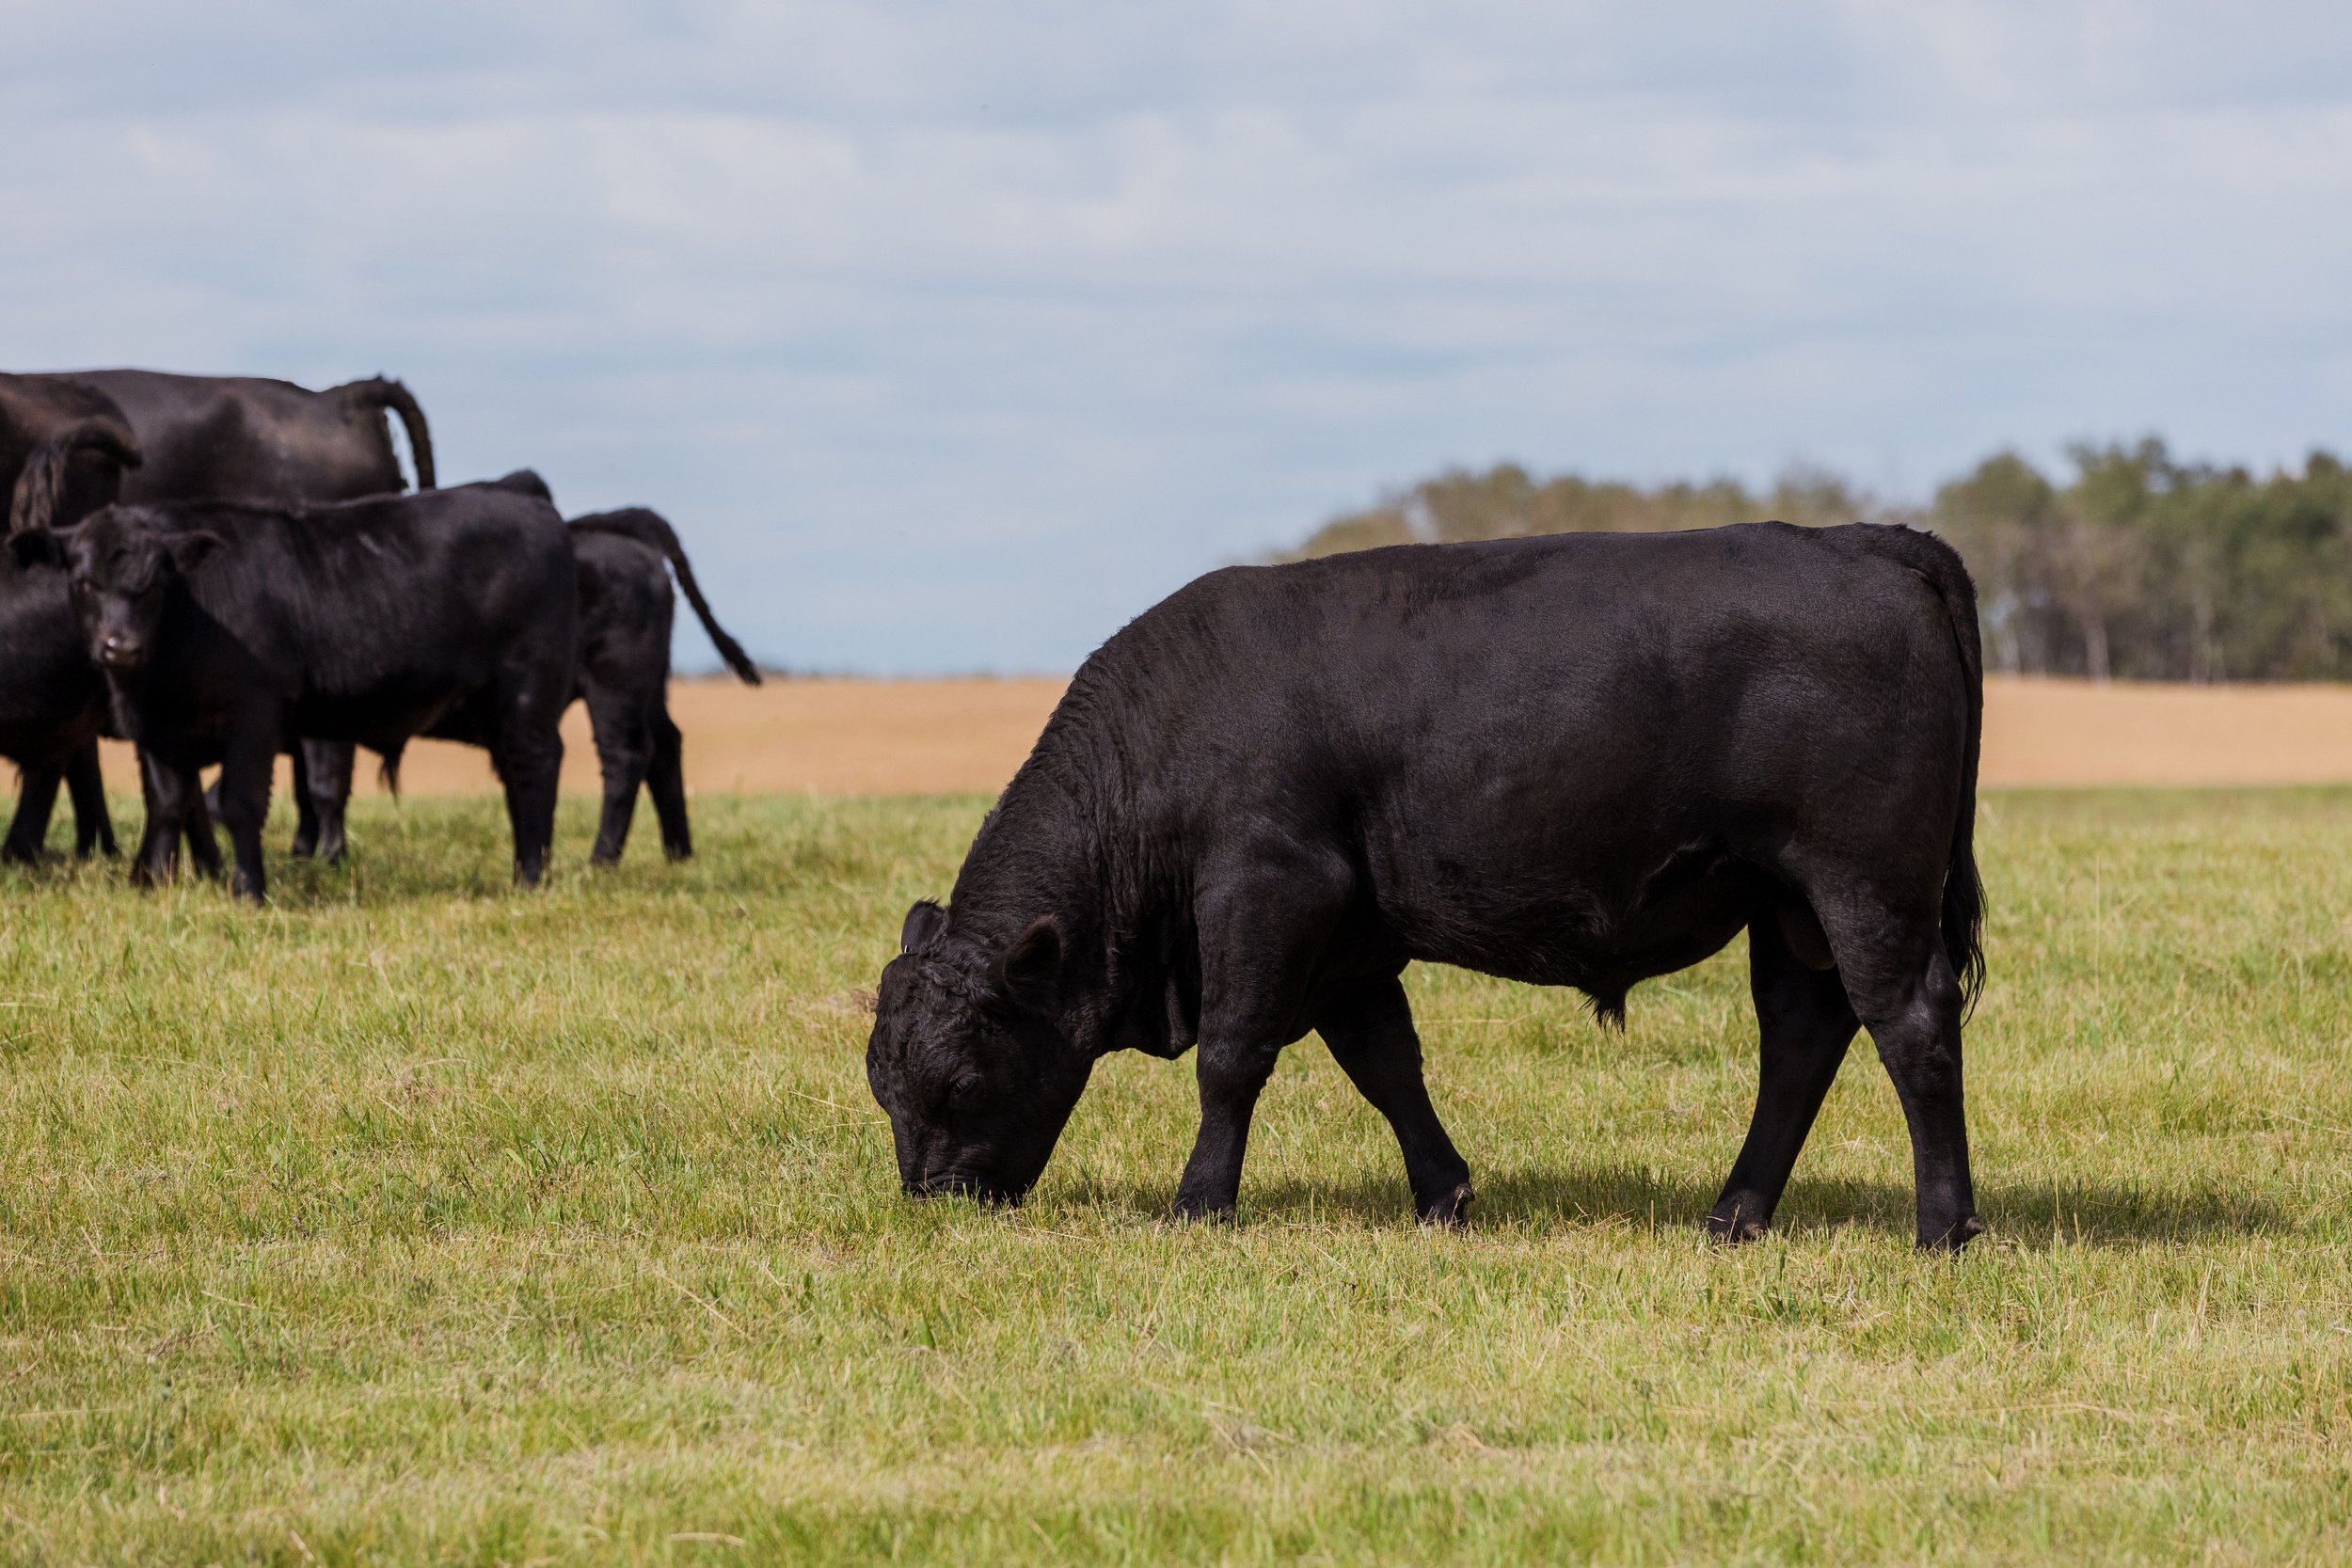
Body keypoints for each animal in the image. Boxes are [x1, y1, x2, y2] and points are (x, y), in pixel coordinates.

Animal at [9, 482, 577, 902]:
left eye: (153, 583)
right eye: (84, 581)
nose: (119, 647)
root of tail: (537, 509)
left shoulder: (253, 714)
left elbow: (238, 803)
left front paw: (248, 891)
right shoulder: (158, 729)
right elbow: (169, 803)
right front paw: (152, 886)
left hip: (527, 692)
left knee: (535, 767)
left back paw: (532, 877)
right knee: (514, 776)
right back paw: (523, 869)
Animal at [866, 522, 1989, 1251]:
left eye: (961, 1080)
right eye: (883, 1083)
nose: (935, 1200)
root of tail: (1865, 538)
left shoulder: (1269, 889)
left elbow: (1232, 1058)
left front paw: (1199, 1206)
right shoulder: (1348, 938)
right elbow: (1385, 1064)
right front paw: (1443, 1196)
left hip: (1865, 884)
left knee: (1911, 1025)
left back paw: (1943, 1227)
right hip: (1785, 905)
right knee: (1801, 1037)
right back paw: (1734, 1215)